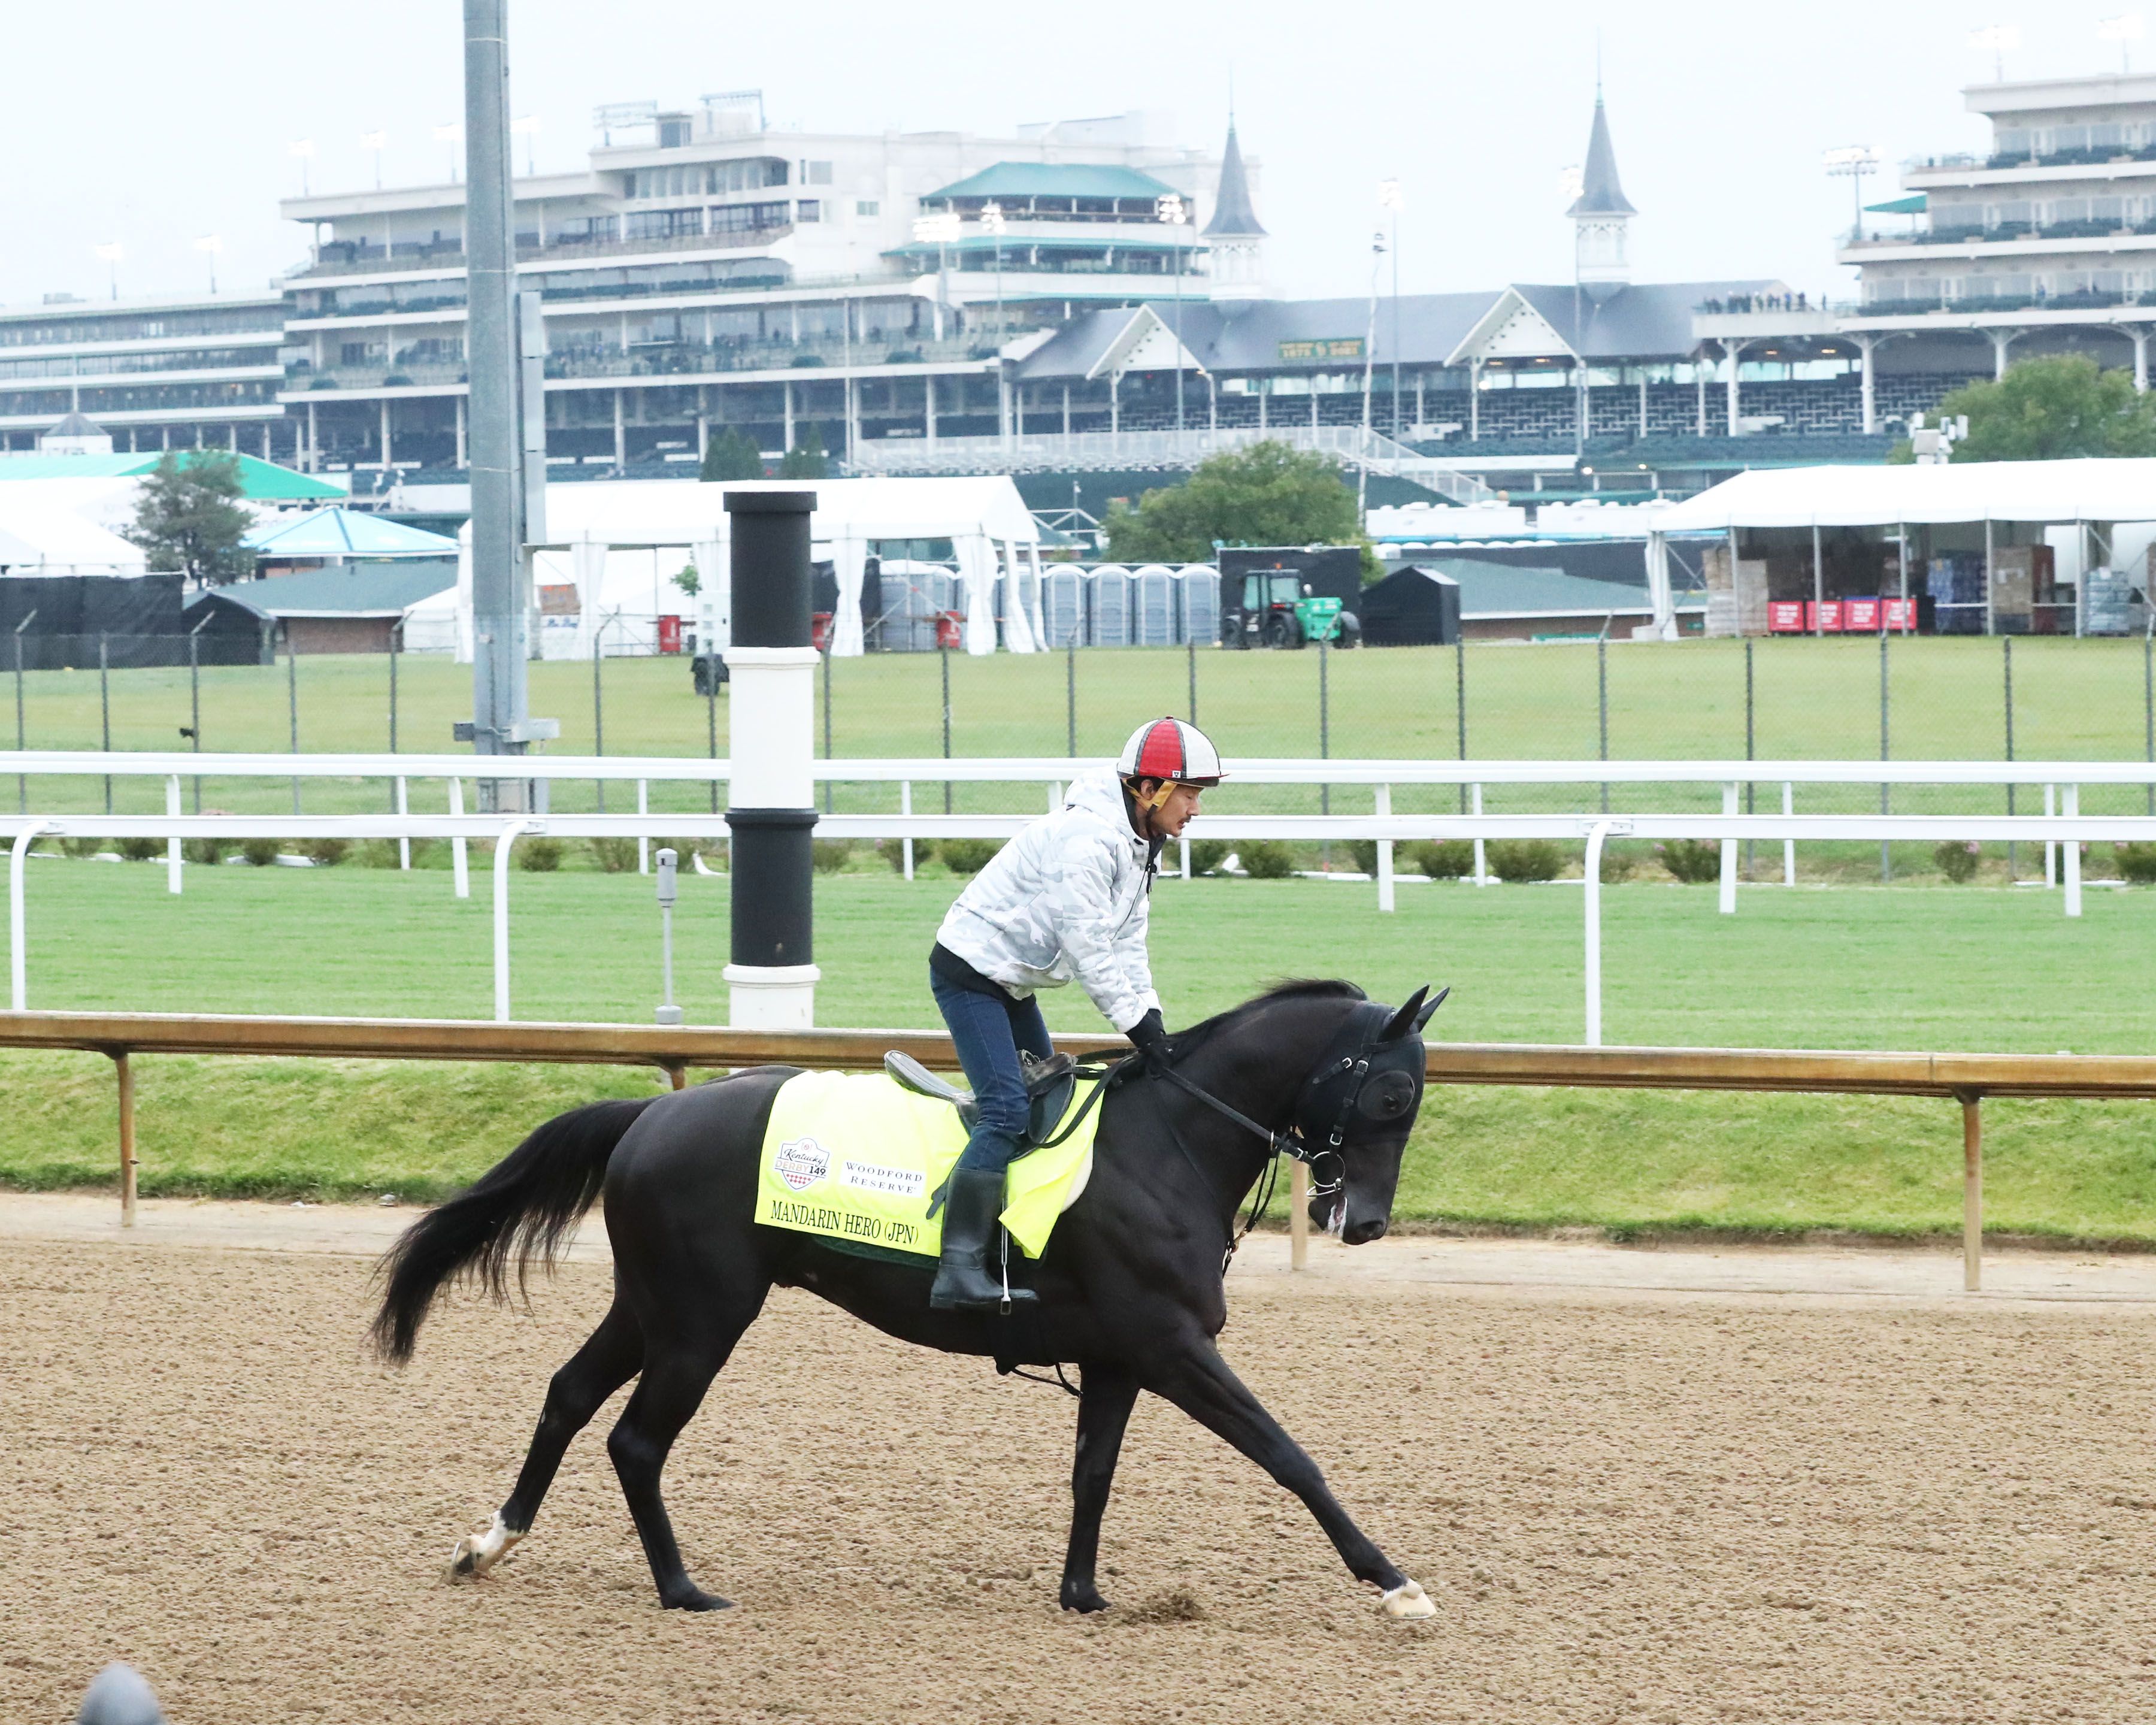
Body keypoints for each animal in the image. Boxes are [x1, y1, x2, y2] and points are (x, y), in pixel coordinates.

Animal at [373, 983, 1449, 1621]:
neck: (1163, 1146)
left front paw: (1083, 1593)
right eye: (1393, 1097)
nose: (1364, 1223)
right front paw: (1394, 1582)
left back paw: (490, 1543)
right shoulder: (1175, 1347)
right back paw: (682, 1589)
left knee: (566, 1394)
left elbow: (1092, 1476)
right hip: (702, 1317)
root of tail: (652, 1110)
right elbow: (1289, 1455)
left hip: (651, 1305)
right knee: (635, 1440)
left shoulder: (1118, 1357)